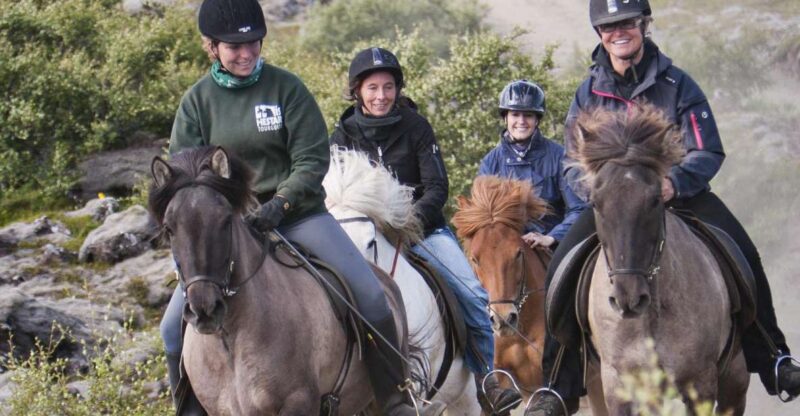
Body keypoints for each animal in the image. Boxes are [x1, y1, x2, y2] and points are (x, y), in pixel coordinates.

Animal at [571, 104, 749, 414]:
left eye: (655, 199)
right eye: (595, 202)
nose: (628, 299)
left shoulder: (700, 384)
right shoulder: (619, 388)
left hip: (734, 383)